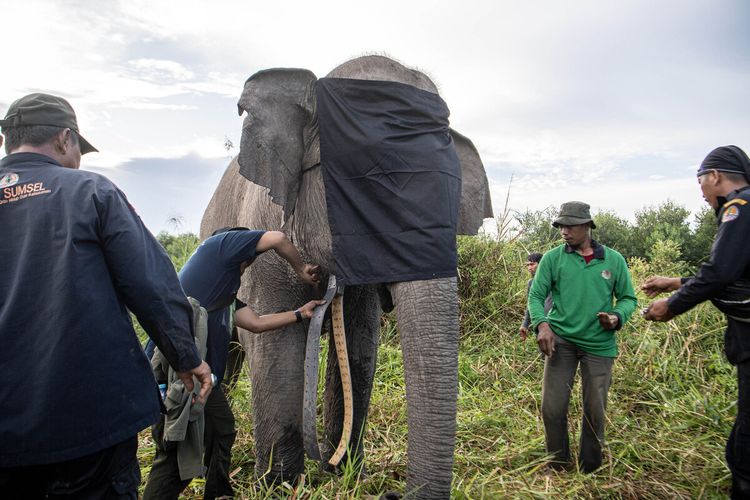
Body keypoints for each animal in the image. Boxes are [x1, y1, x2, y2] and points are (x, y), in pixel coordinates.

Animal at [200, 56, 494, 498]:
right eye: (364, 187)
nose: (391, 492)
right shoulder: (263, 233)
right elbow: (275, 345)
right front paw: (279, 486)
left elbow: (360, 345)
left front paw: (347, 473)